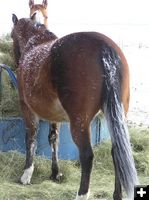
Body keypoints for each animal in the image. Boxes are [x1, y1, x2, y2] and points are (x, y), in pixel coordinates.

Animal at [11, 14, 138, 200]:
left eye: (12, 35)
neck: (35, 43)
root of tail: (103, 47)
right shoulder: (54, 116)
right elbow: (53, 139)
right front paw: (55, 173)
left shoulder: (27, 108)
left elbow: (31, 139)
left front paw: (26, 175)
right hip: (116, 115)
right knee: (116, 152)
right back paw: (117, 194)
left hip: (79, 121)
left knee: (87, 155)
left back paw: (82, 194)